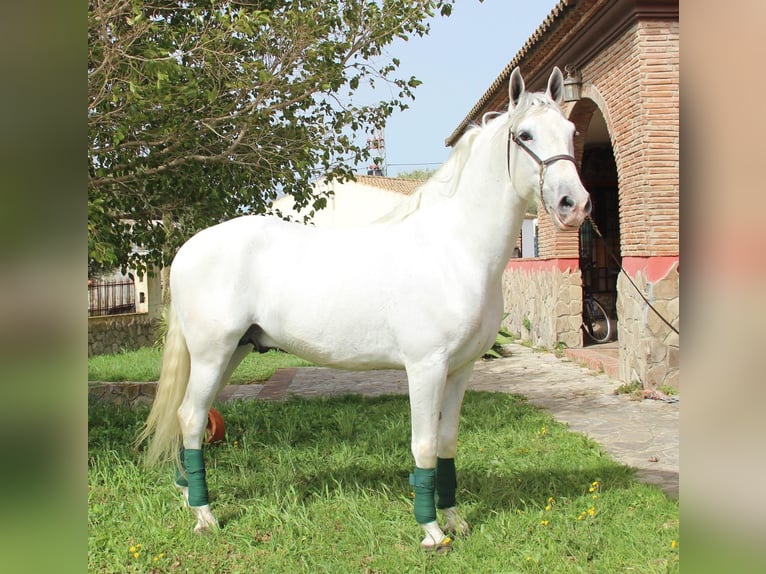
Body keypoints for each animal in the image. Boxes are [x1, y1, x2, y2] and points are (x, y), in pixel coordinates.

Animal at [137, 67, 591, 551]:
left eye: (571, 131)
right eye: (525, 135)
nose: (575, 204)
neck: (454, 248)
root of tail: (188, 248)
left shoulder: (461, 369)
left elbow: (447, 442)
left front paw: (454, 520)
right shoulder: (426, 368)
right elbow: (423, 445)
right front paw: (431, 531)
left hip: (232, 353)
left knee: (192, 417)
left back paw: (189, 498)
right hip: (211, 354)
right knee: (190, 418)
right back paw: (205, 516)